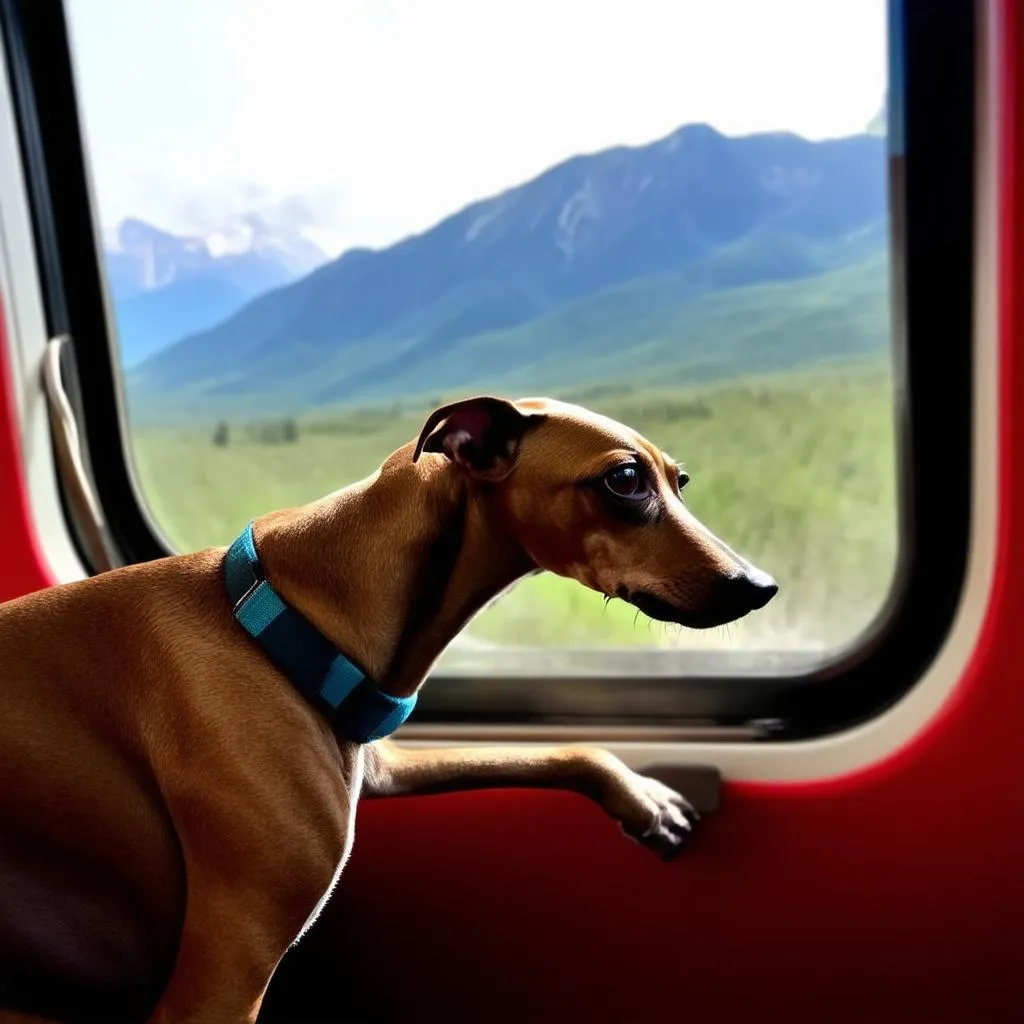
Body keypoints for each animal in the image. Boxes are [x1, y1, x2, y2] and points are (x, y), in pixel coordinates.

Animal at [0, 395, 770, 1019]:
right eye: (624, 480)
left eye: (679, 482)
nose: (760, 585)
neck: (279, 623)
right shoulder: (218, 988)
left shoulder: (382, 760)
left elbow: (564, 747)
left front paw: (640, 796)